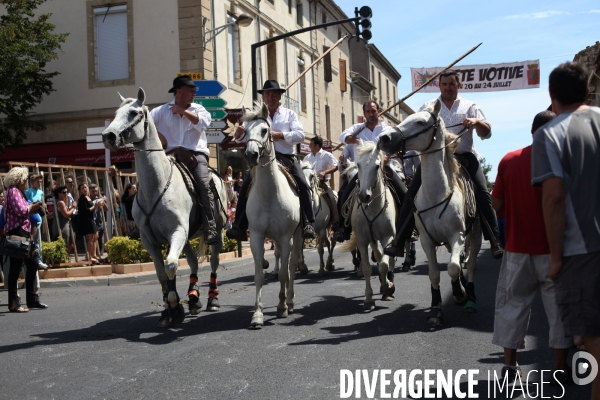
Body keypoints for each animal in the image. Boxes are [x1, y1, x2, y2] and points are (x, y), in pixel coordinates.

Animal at [102, 89, 226, 326]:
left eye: (134, 112)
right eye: (115, 113)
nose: (108, 136)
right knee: (193, 262)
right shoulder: (148, 239)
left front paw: (175, 308)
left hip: (217, 232)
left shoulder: (177, 231)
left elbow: (170, 265)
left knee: (213, 262)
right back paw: (193, 298)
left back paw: (212, 300)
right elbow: (162, 272)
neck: (156, 187)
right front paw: (170, 309)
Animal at [241, 101, 302, 326]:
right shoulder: (257, 236)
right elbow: (259, 274)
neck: (269, 194)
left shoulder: (285, 237)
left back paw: (290, 301)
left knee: (291, 267)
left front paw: (282, 306)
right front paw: (257, 314)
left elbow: (284, 274)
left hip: (297, 236)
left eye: (265, 130)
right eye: (244, 131)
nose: (251, 155)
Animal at [340, 141, 396, 312]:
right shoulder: (362, 239)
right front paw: (369, 299)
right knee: (378, 255)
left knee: (389, 261)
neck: (372, 207)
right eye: (358, 165)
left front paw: (387, 288)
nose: (364, 196)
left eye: (377, 166)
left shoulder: (387, 238)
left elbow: (384, 265)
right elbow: (367, 268)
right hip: (373, 239)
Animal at [380, 100, 482, 324]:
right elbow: (435, 273)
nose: (384, 138)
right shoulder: (427, 241)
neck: (437, 194)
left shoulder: (457, 236)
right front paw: (436, 309)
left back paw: (470, 298)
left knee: (470, 265)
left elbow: (453, 268)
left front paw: (459, 294)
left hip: (475, 235)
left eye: (420, 122)